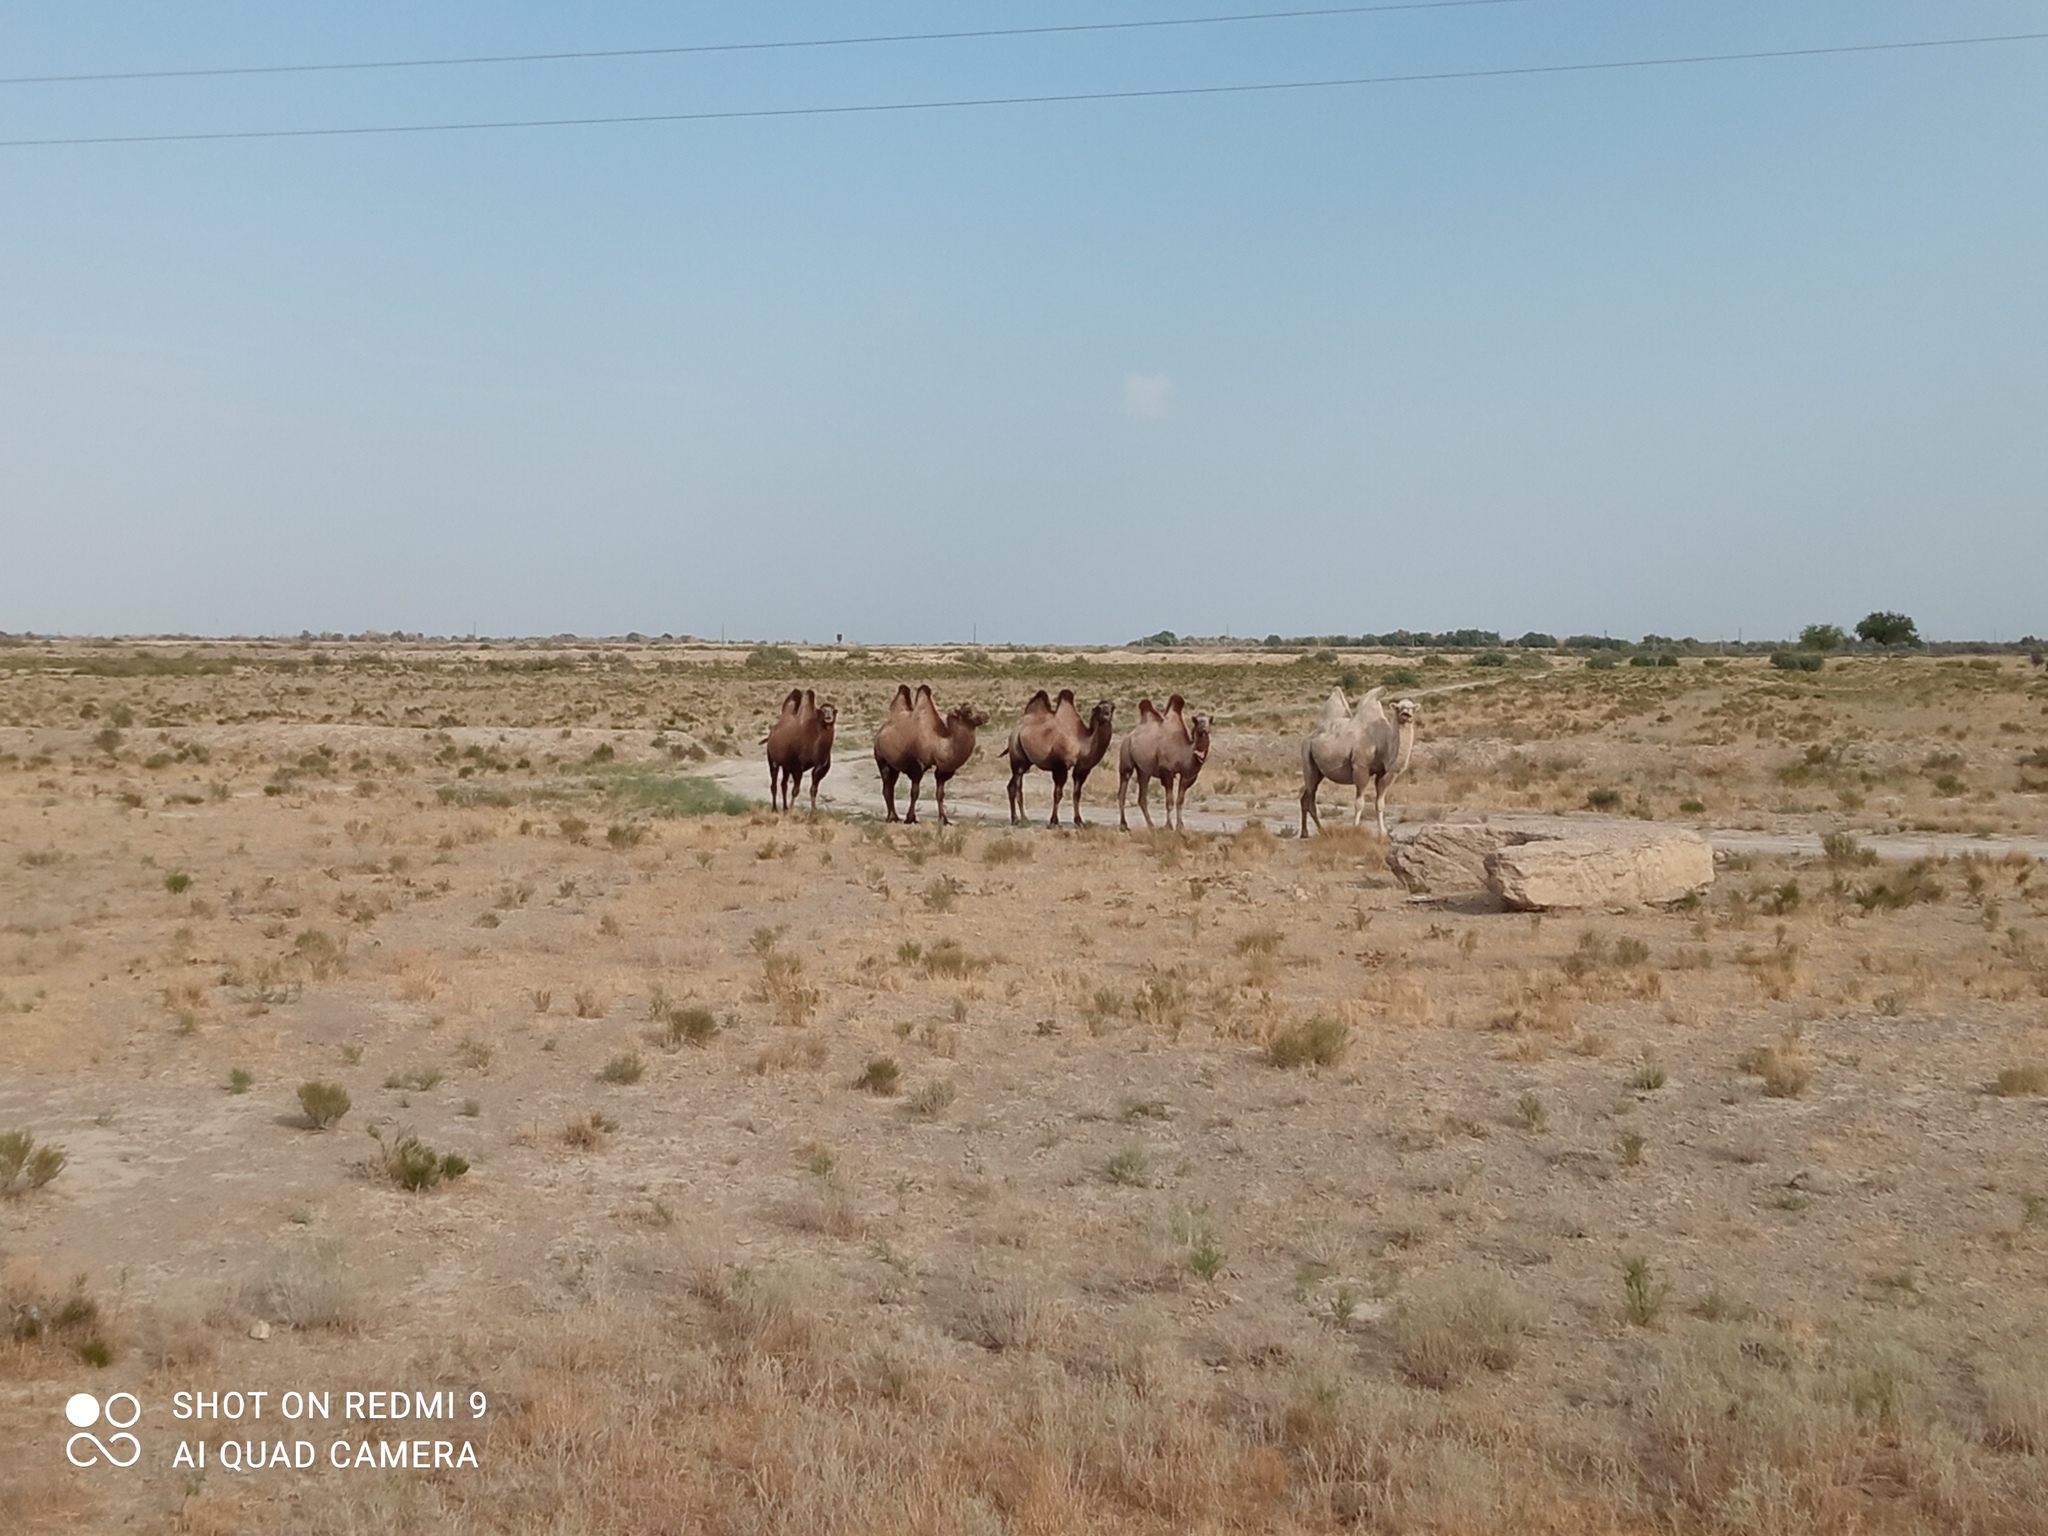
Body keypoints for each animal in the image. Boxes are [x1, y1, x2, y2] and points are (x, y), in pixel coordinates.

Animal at [868, 688, 987, 831]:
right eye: (968, 712)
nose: (985, 715)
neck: (938, 744)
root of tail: (881, 732)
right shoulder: (917, 767)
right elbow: (915, 792)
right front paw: (910, 819)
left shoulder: (942, 770)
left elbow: (940, 794)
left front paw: (944, 820)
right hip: (881, 760)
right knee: (887, 788)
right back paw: (892, 817)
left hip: (894, 767)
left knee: (890, 786)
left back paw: (894, 816)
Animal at [999, 688, 1114, 831]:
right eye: (1099, 708)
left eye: (1112, 707)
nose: (1107, 715)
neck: (1082, 742)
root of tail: (1015, 731)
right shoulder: (1060, 766)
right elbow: (1058, 794)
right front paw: (1054, 821)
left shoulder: (1082, 769)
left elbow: (1077, 793)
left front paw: (1079, 821)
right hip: (1017, 756)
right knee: (1018, 788)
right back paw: (1024, 819)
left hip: (1026, 762)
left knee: (1011, 786)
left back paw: (1014, 819)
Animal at [1122, 700, 1212, 835]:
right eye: (1198, 721)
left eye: (1209, 721)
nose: (1205, 729)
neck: (1185, 751)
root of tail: (1129, 736)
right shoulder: (1167, 772)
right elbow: (1169, 802)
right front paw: (1168, 826)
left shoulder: (1187, 776)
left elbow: (1180, 801)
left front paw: (1180, 826)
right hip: (1125, 757)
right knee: (1122, 793)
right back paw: (1123, 825)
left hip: (1143, 770)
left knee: (1142, 798)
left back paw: (1151, 825)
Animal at [1302, 684, 1417, 835]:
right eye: (1398, 707)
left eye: (1412, 708)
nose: (1406, 714)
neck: (1384, 743)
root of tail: (1309, 737)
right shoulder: (1360, 767)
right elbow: (1359, 803)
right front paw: (1355, 829)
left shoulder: (1383, 773)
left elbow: (1380, 804)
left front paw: (1383, 832)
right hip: (1306, 757)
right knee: (1310, 798)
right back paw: (1321, 831)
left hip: (1318, 771)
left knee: (1305, 797)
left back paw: (1305, 833)